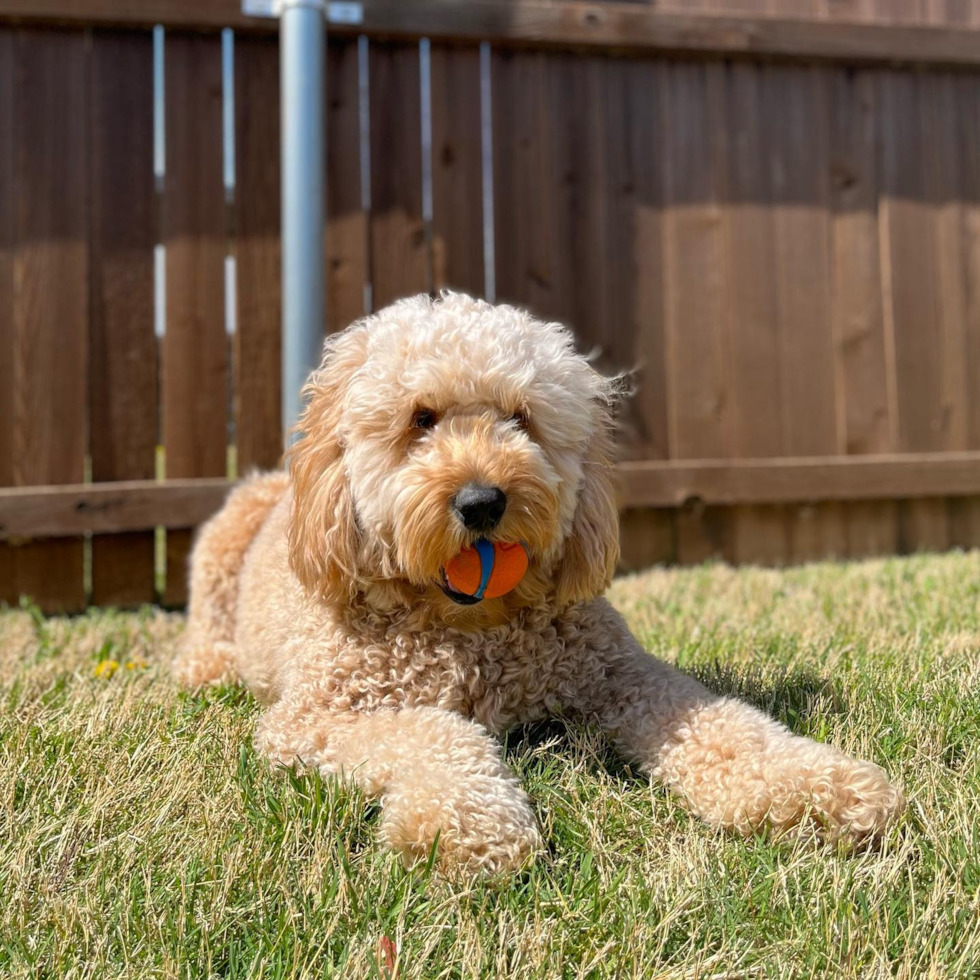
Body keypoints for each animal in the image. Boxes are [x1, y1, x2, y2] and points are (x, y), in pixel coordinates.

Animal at [174, 290, 904, 872]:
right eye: (420, 418)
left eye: (520, 418)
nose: (481, 502)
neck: (470, 629)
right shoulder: (316, 719)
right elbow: (435, 733)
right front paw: (466, 828)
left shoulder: (625, 677)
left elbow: (728, 725)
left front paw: (818, 789)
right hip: (226, 532)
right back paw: (208, 666)